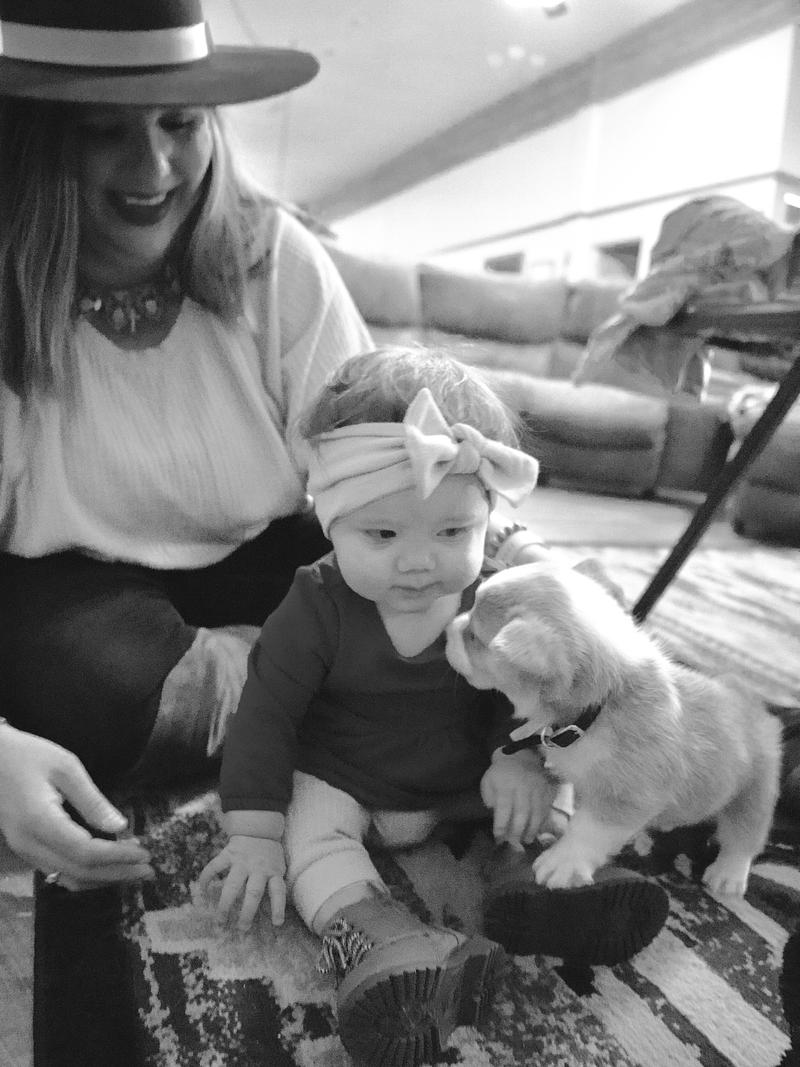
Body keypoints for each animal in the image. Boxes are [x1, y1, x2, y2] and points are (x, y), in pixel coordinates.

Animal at [446, 560, 782, 896]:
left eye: (474, 636)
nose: (449, 628)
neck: (596, 709)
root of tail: (751, 699)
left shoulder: (624, 796)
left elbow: (588, 832)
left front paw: (561, 863)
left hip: (754, 793)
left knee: (744, 836)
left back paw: (729, 874)